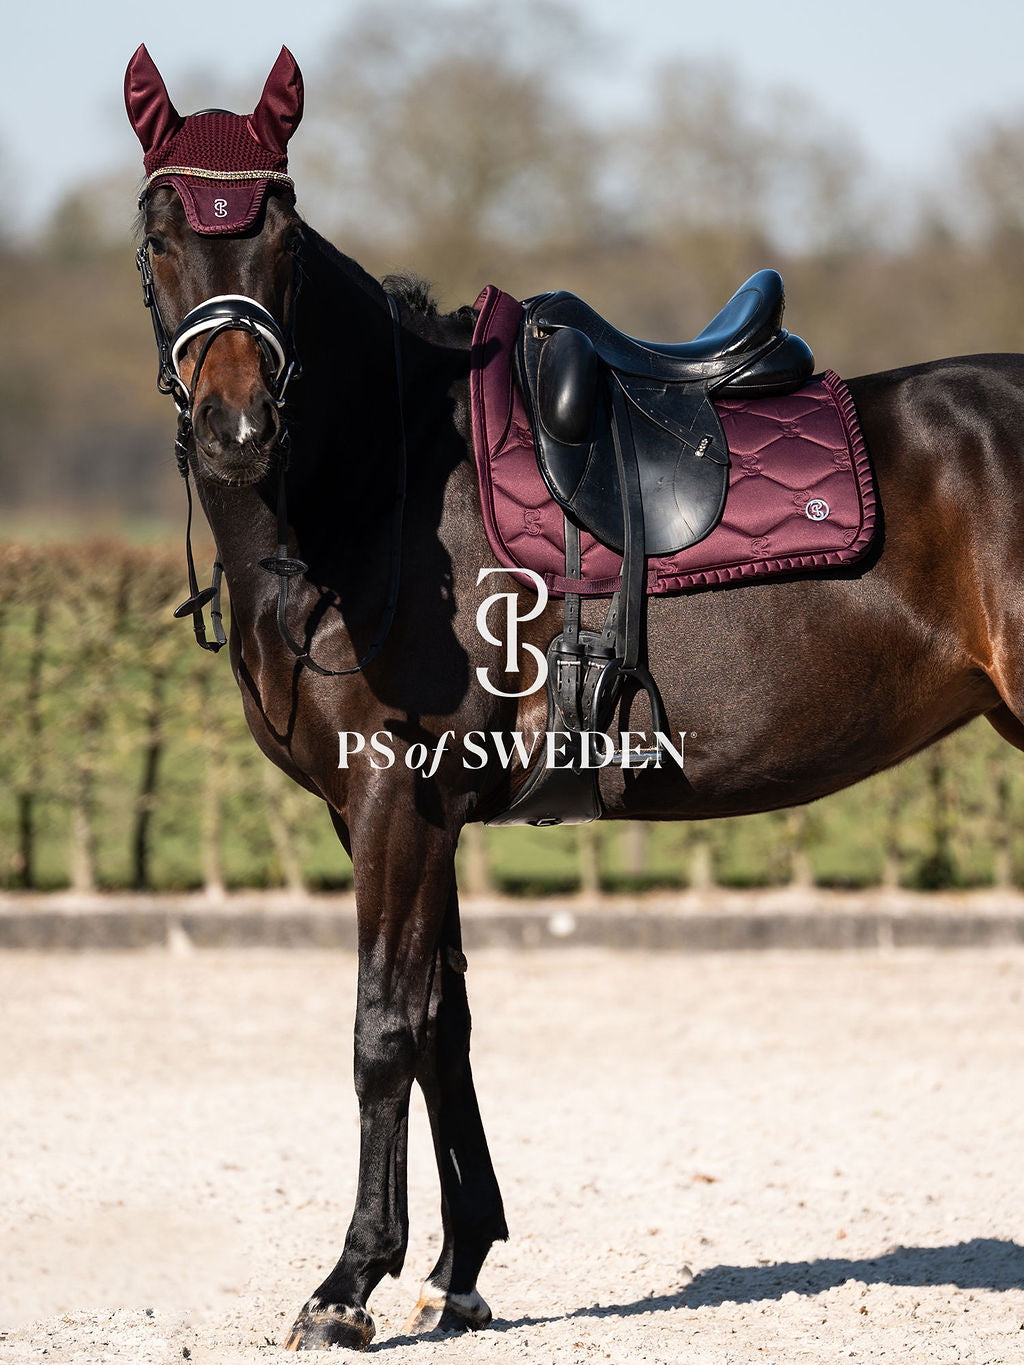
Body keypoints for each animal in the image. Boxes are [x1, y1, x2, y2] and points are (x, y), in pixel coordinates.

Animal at [126, 44, 1024, 1352]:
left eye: (280, 235)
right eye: (158, 234)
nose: (238, 425)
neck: (382, 483)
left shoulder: (396, 803)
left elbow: (383, 1030)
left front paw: (348, 1285)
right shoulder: (403, 814)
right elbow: (443, 1022)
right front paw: (456, 1269)